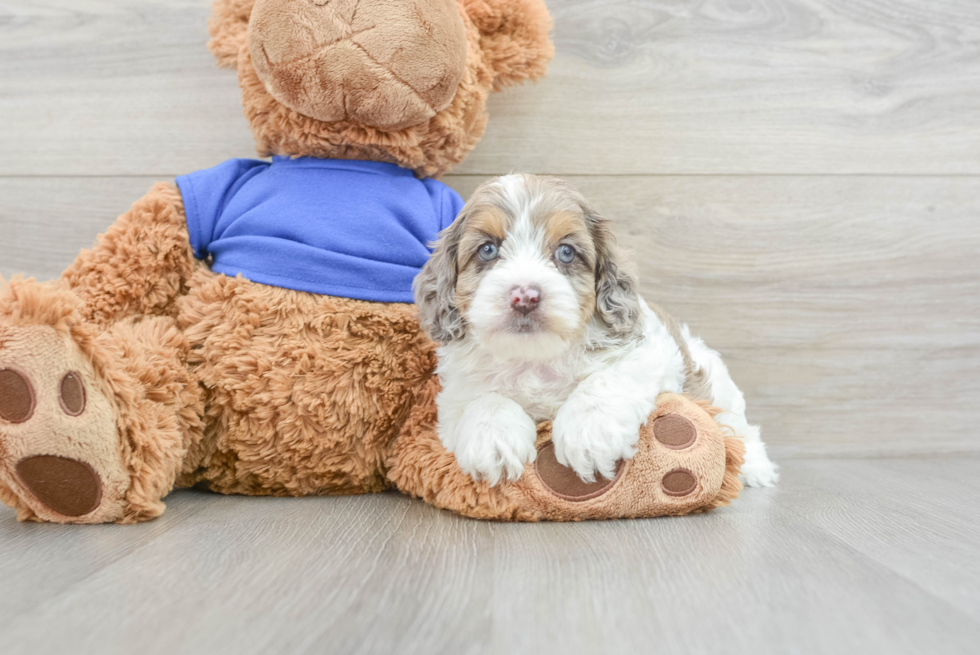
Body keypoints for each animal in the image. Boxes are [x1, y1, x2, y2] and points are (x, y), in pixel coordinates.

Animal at [414, 172, 780, 490]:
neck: (535, 357)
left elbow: (605, 381)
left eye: (566, 252)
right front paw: (493, 441)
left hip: (719, 387)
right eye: (488, 249)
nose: (525, 296)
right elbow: (483, 400)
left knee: (740, 428)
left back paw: (754, 467)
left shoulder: (652, 351)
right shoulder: (454, 396)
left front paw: (588, 432)